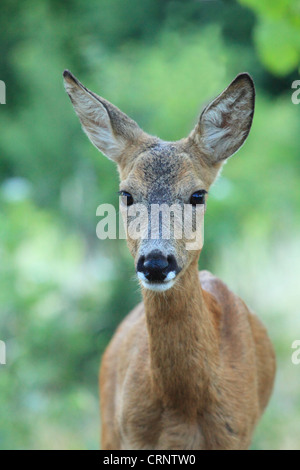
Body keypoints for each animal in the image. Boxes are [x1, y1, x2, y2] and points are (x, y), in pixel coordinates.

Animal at [63, 69, 276, 448]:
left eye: (197, 194)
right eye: (126, 194)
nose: (156, 263)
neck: (186, 406)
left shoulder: (237, 433)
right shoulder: (131, 434)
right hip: (107, 425)